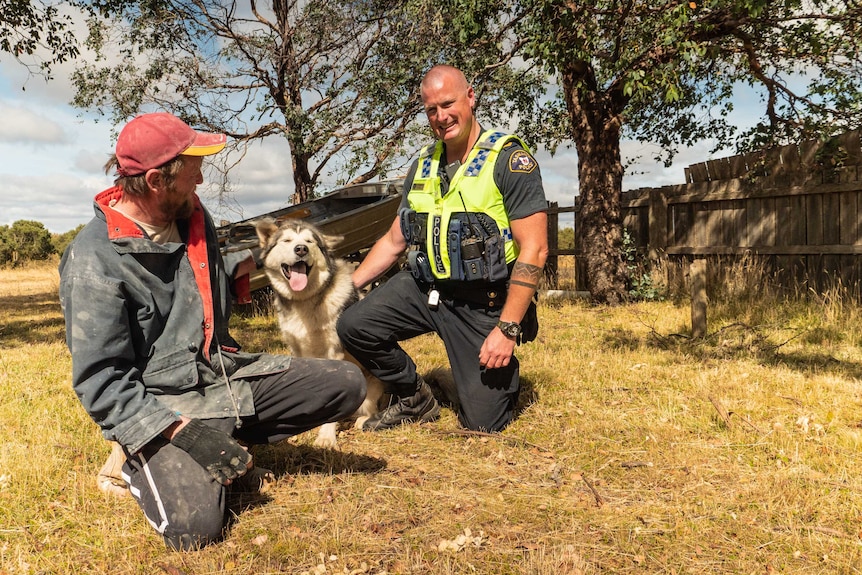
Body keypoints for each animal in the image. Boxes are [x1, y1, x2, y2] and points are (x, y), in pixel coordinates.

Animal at [255, 218, 386, 448]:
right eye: (287, 240)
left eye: (310, 241)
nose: (301, 249)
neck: (304, 301)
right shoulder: (296, 350)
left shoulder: (334, 351)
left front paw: (326, 436)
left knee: (370, 408)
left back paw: (362, 419)